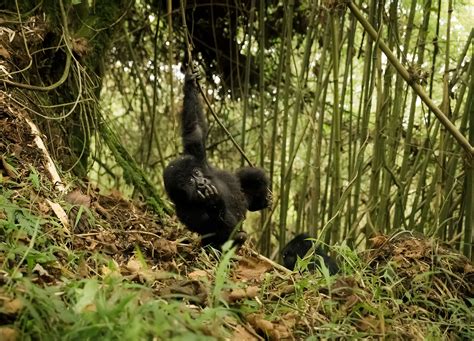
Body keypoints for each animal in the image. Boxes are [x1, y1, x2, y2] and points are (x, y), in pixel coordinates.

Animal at [165, 69, 272, 248]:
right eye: (190, 183)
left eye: (196, 173)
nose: (202, 183)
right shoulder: (184, 211)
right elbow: (213, 228)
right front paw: (214, 203)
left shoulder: (195, 156)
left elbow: (194, 130)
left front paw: (189, 83)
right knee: (230, 236)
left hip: (245, 200)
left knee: (253, 176)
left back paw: (262, 201)